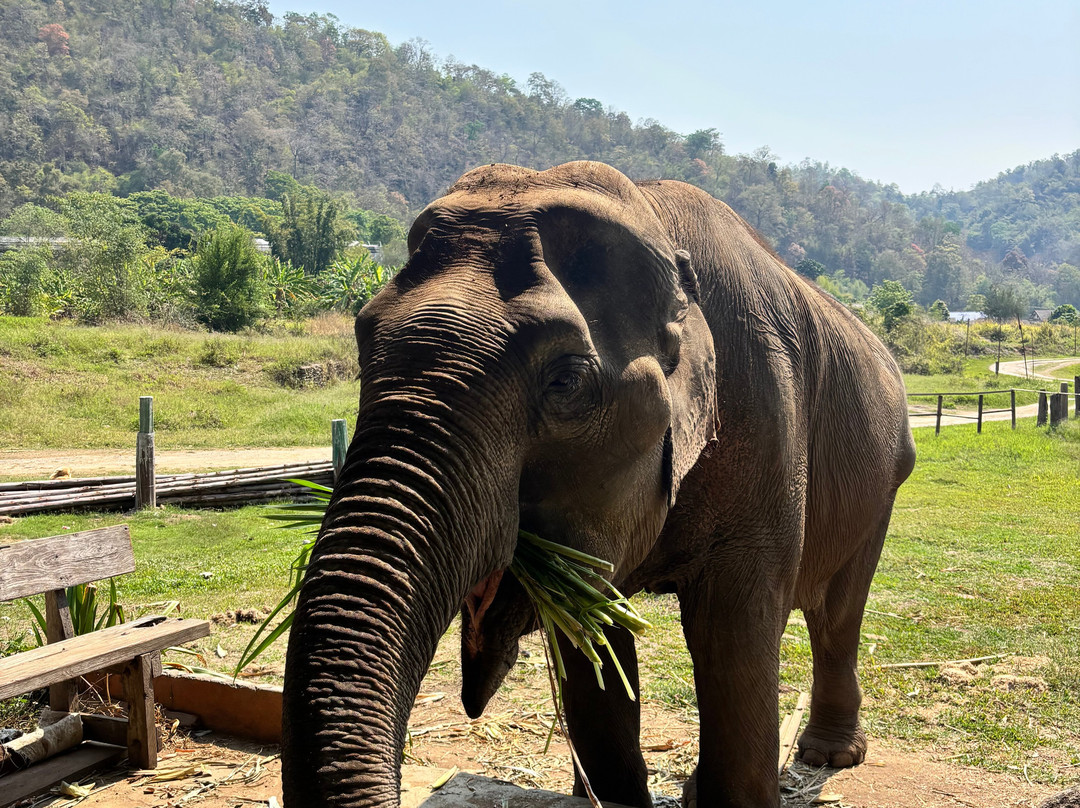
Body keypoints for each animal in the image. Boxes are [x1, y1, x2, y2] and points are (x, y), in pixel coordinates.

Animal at [281, 161, 916, 808]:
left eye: (564, 381)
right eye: (363, 346)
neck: (654, 216)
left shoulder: (765, 428)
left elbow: (733, 633)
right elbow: (588, 630)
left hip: (886, 481)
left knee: (837, 612)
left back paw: (829, 755)